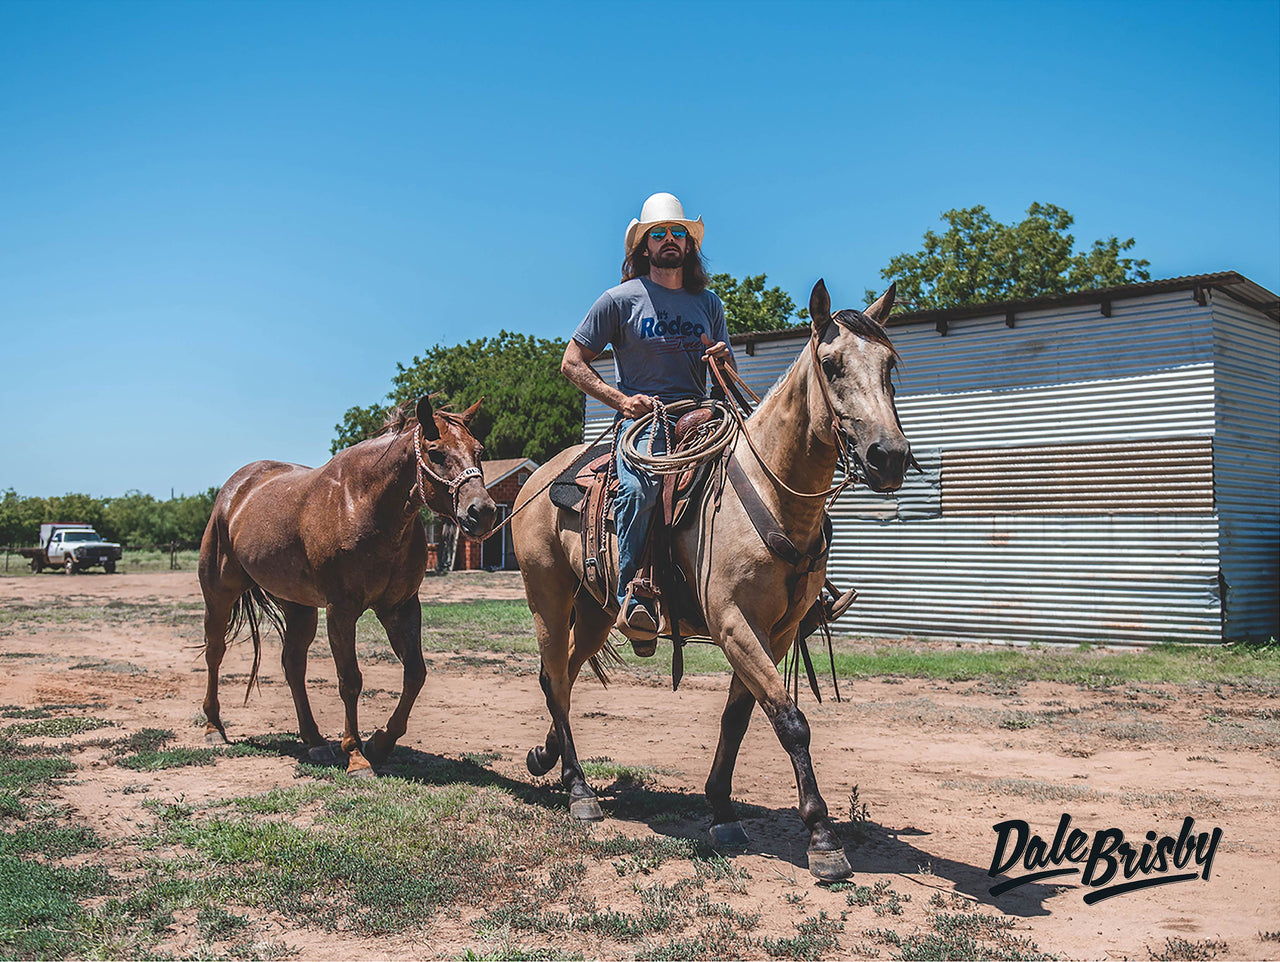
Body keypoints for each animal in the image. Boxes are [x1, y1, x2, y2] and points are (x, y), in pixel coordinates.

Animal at [198, 394, 494, 777]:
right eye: (436, 453)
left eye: (479, 451)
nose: (482, 512)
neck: (364, 505)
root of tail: (234, 491)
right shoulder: (342, 611)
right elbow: (350, 680)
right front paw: (355, 755)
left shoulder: (401, 607)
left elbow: (415, 674)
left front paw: (381, 743)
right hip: (218, 595)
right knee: (215, 653)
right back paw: (213, 728)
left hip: (298, 606)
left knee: (293, 664)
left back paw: (314, 741)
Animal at [509, 280, 911, 880]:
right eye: (832, 364)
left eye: (889, 364)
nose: (890, 457)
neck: (774, 494)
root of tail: (538, 480)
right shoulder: (733, 623)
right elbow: (790, 721)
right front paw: (822, 837)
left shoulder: (778, 632)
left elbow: (739, 717)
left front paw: (721, 809)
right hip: (549, 600)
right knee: (556, 678)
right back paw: (579, 789)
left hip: (599, 610)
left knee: (563, 674)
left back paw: (548, 758)